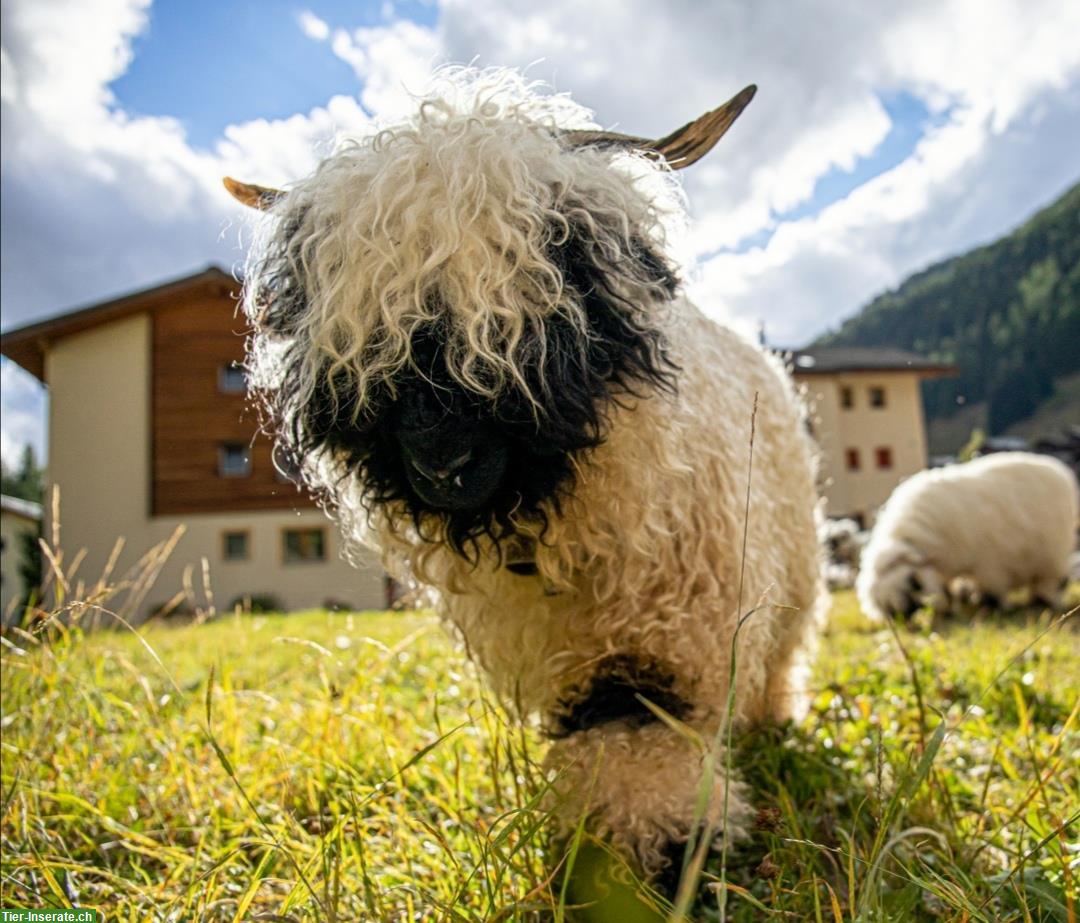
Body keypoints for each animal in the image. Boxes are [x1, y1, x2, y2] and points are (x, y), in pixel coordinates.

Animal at [223, 68, 820, 876]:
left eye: (567, 272)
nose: (443, 458)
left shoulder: (672, 610)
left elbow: (641, 715)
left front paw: (669, 849)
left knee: (783, 646)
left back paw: (770, 718)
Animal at [855, 451, 1075, 617]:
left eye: (913, 582)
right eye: (893, 612)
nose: (935, 607)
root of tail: (1059, 470)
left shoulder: (990, 562)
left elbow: (992, 590)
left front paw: (991, 607)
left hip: (1054, 551)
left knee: (1053, 581)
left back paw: (1044, 601)